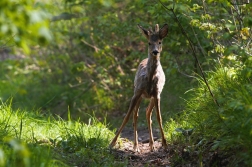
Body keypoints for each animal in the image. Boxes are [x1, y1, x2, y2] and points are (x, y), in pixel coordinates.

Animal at [109, 23, 168, 153]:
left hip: (151, 96)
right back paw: (136, 146)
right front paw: (112, 143)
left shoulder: (157, 94)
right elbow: (127, 117)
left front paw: (165, 144)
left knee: (147, 113)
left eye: (160, 42)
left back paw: (151, 145)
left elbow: (159, 118)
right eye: (149, 43)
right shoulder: (137, 92)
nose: (155, 51)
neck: (150, 78)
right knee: (135, 115)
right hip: (138, 93)